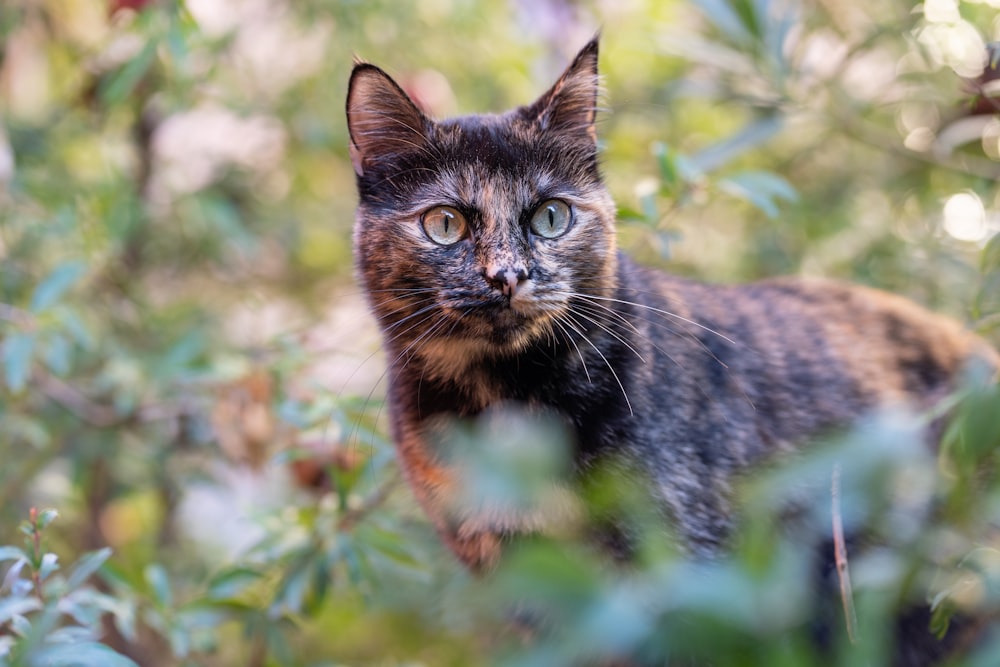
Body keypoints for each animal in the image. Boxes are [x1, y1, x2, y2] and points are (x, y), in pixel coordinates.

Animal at [346, 39, 1000, 660]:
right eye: (445, 224)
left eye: (551, 216)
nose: (508, 276)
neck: (508, 404)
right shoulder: (539, 596)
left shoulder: (688, 580)